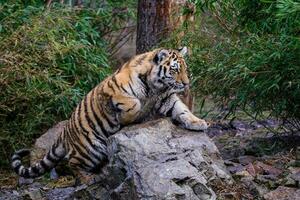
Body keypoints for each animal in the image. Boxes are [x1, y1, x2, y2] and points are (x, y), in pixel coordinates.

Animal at [11, 47, 209, 180]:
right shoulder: (113, 91)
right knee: (73, 163)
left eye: (186, 69)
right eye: (175, 70)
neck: (156, 88)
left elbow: (183, 110)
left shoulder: (167, 98)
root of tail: (64, 134)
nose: (186, 83)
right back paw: (88, 178)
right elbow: (134, 103)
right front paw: (128, 118)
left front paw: (198, 123)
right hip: (90, 150)